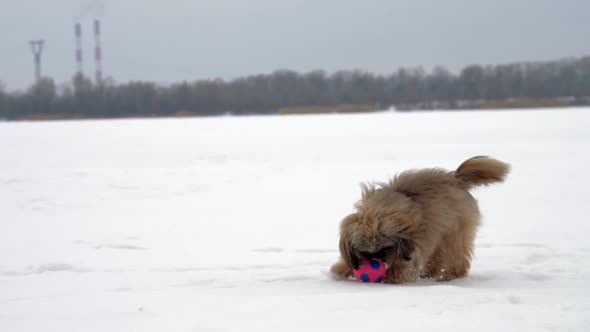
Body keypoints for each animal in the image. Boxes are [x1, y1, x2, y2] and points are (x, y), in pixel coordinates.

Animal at [330, 156, 512, 282]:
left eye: (385, 248)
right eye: (365, 252)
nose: (377, 261)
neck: (378, 212)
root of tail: (456, 179)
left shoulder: (411, 247)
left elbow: (403, 266)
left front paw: (392, 278)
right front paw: (339, 271)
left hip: (456, 231)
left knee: (458, 257)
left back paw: (450, 277)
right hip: (440, 232)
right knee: (437, 257)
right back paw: (429, 273)